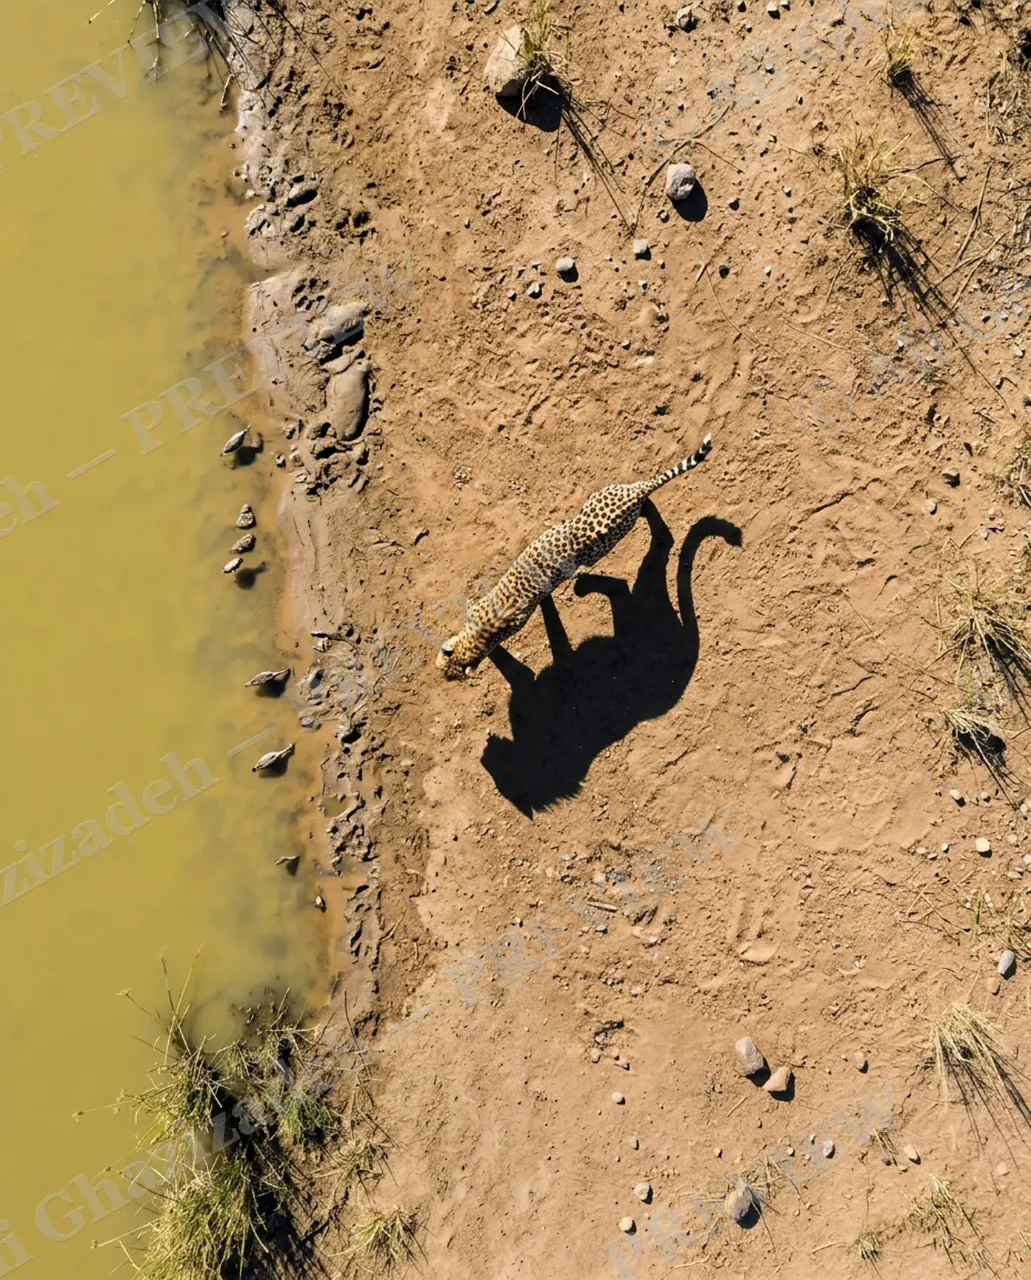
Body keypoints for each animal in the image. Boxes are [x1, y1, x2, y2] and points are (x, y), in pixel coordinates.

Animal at [436, 434, 712, 679]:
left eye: (448, 675)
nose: (442, 676)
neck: (477, 636)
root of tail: (632, 492)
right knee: (648, 505)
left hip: (600, 545)